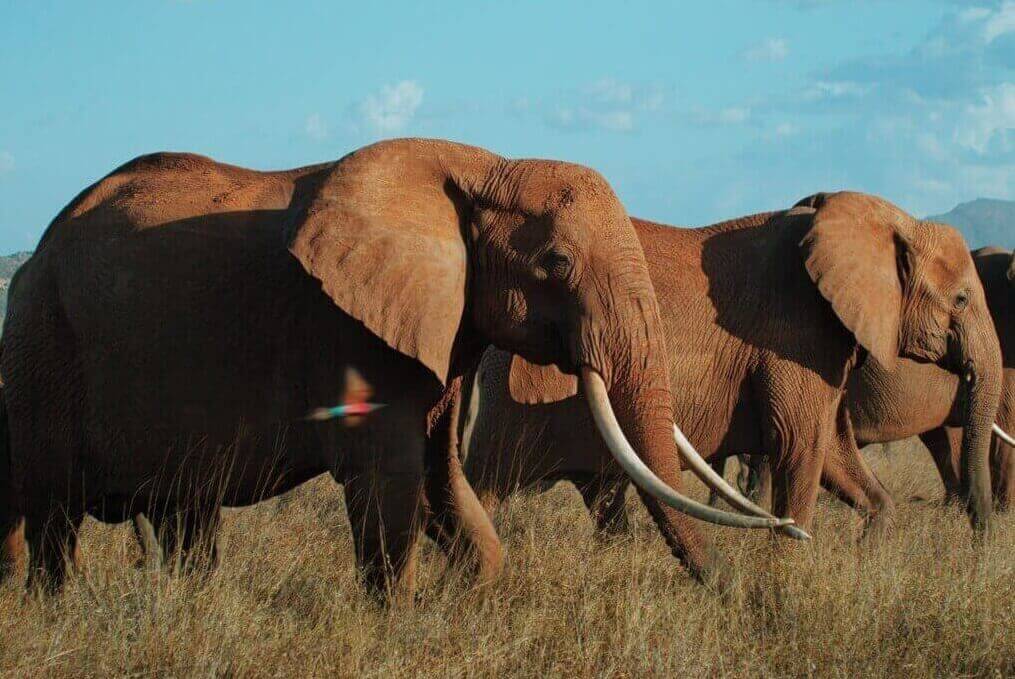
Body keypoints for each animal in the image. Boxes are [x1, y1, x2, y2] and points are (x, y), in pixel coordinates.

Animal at [0, 138, 779, 595]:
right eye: (557, 263)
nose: (728, 591)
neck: (478, 167)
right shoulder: (348, 331)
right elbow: (390, 477)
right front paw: (400, 616)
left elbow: (441, 477)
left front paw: (478, 594)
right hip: (43, 342)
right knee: (53, 515)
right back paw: (52, 607)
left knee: (183, 513)